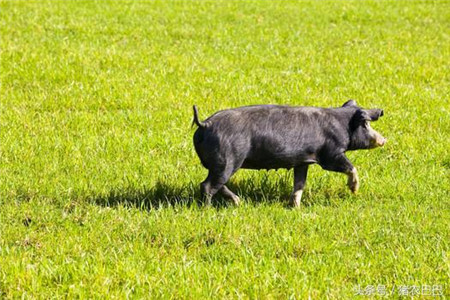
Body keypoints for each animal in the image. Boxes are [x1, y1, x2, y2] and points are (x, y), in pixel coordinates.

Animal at [192, 100, 384, 206]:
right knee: (207, 185)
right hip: (228, 159)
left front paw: (296, 207)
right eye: (365, 123)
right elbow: (350, 167)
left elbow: (299, 184)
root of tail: (205, 124)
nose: (384, 140)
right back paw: (208, 209)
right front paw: (354, 190)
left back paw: (238, 203)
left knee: (217, 184)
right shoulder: (330, 154)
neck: (342, 124)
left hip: (223, 164)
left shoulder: (303, 161)